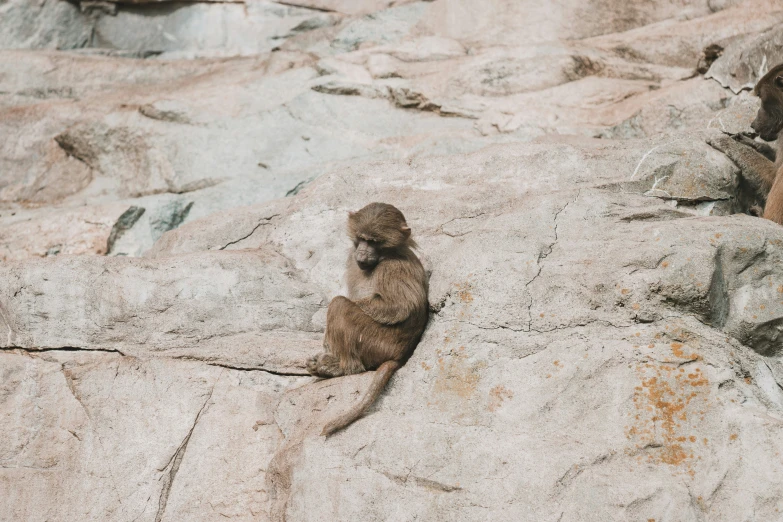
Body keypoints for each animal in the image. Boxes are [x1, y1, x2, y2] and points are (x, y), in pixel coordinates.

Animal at [306, 203, 428, 434]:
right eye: (362, 238)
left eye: (374, 241)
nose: (362, 252)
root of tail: (401, 354)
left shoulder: (395, 267)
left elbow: (402, 306)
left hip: (378, 342)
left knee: (340, 306)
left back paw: (343, 367)